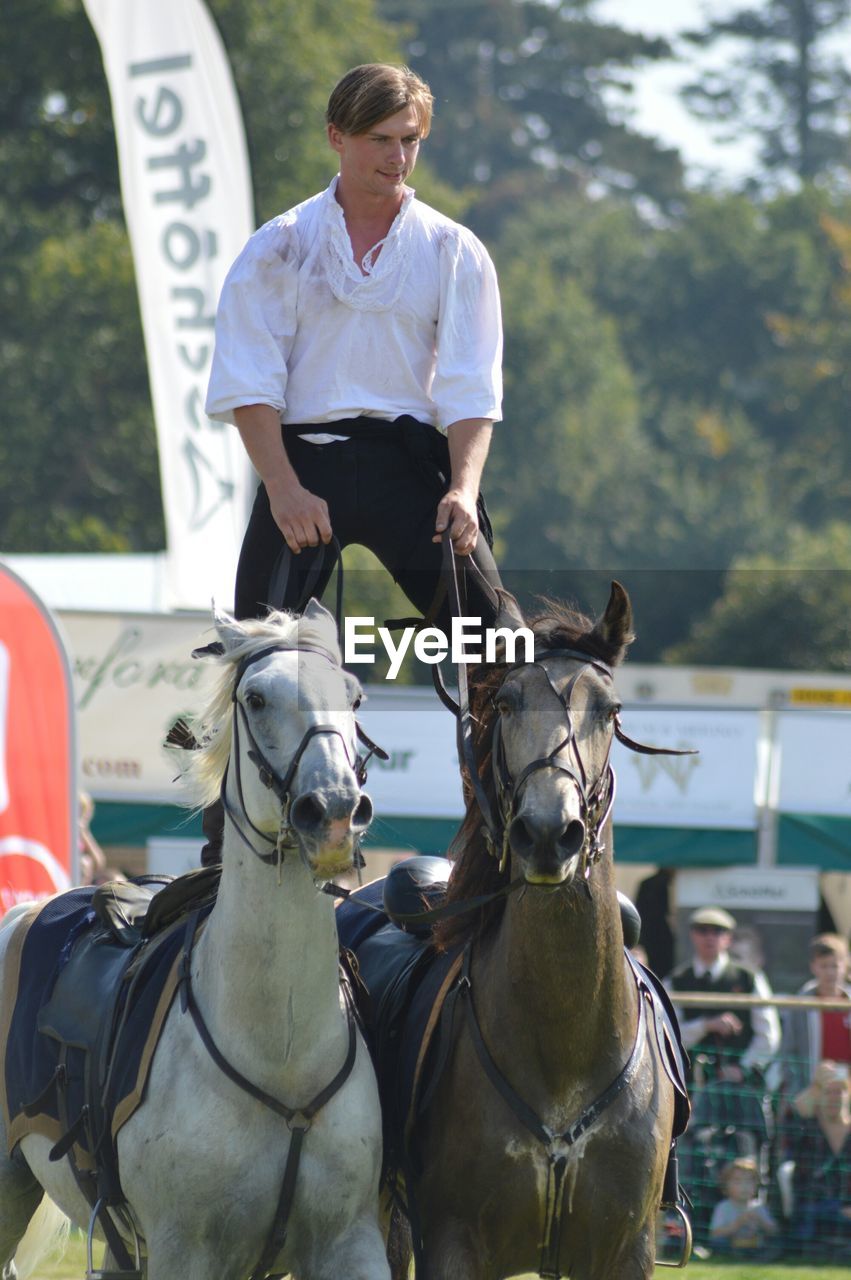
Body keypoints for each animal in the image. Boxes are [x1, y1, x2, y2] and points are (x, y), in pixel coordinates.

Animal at [0, 601, 391, 1280]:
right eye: (256, 698)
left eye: (355, 697)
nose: (337, 811)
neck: (282, 1051)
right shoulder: (185, 1250)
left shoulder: (351, 1242)